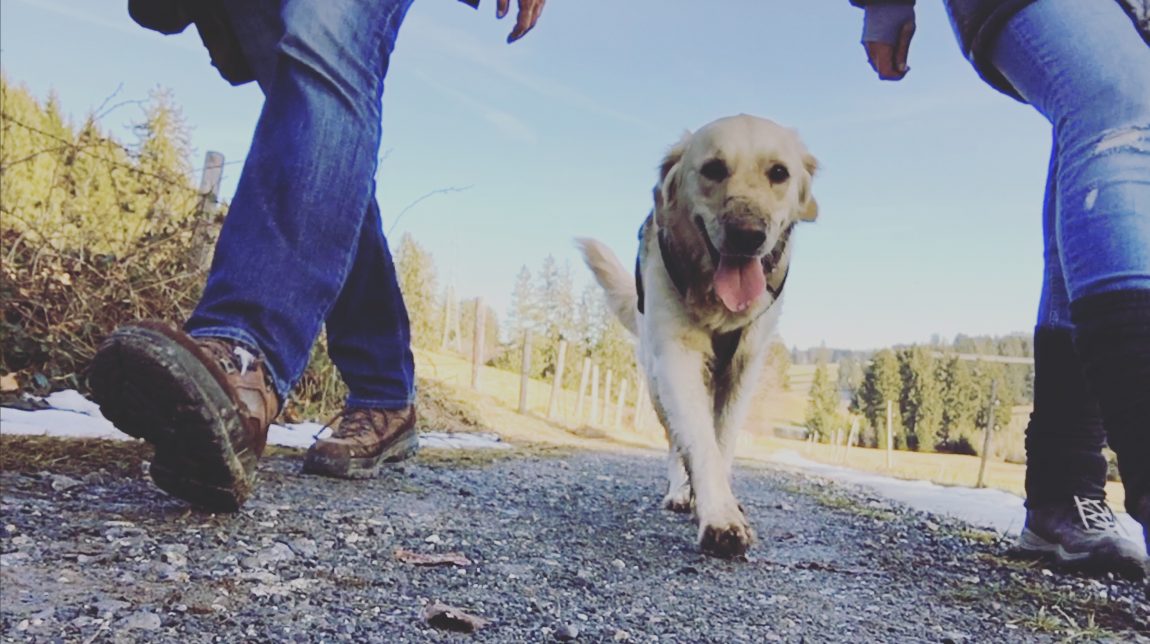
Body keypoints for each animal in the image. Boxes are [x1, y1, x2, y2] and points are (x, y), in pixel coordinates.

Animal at [575, 115, 818, 558]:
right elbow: (699, 443)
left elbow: (722, 443)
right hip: (656, 384)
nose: (748, 234)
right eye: (713, 169)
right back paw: (680, 491)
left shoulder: (743, 368)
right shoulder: (676, 357)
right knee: (676, 442)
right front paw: (718, 516)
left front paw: (720, 502)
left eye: (779, 173)